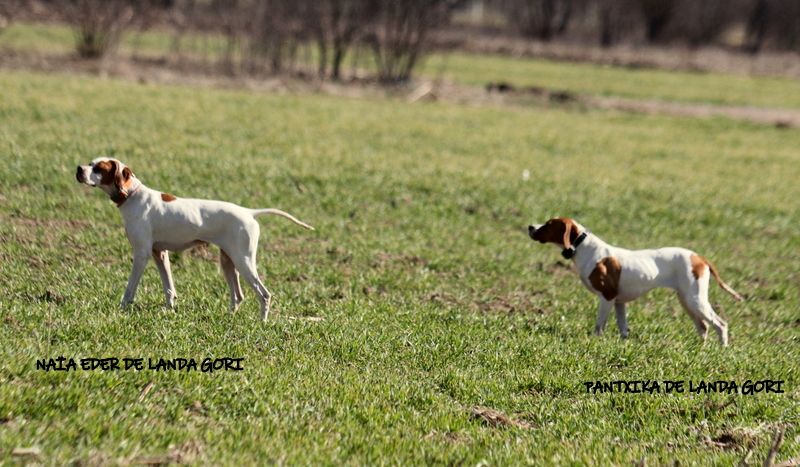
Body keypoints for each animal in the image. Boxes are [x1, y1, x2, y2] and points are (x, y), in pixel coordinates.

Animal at [75, 157, 312, 322]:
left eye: (99, 168)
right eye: (90, 163)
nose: (79, 169)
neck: (132, 195)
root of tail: (249, 212)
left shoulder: (141, 254)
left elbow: (130, 288)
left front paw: (123, 307)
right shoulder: (160, 254)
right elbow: (169, 288)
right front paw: (169, 311)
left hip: (244, 262)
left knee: (264, 294)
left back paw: (262, 322)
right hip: (228, 262)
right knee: (238, 296)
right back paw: (230, 317)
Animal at [528, 218, 740, 346]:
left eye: (548, 224)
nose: (530, 226)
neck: (584, 248)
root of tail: (699, 258)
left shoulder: (607, 297)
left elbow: (599, 326)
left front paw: (595, 342)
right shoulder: (619, 302)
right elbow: (623, 328)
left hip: (695, 300)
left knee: (720, 324)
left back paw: (721, 349)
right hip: (686, 300)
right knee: (703, 326)